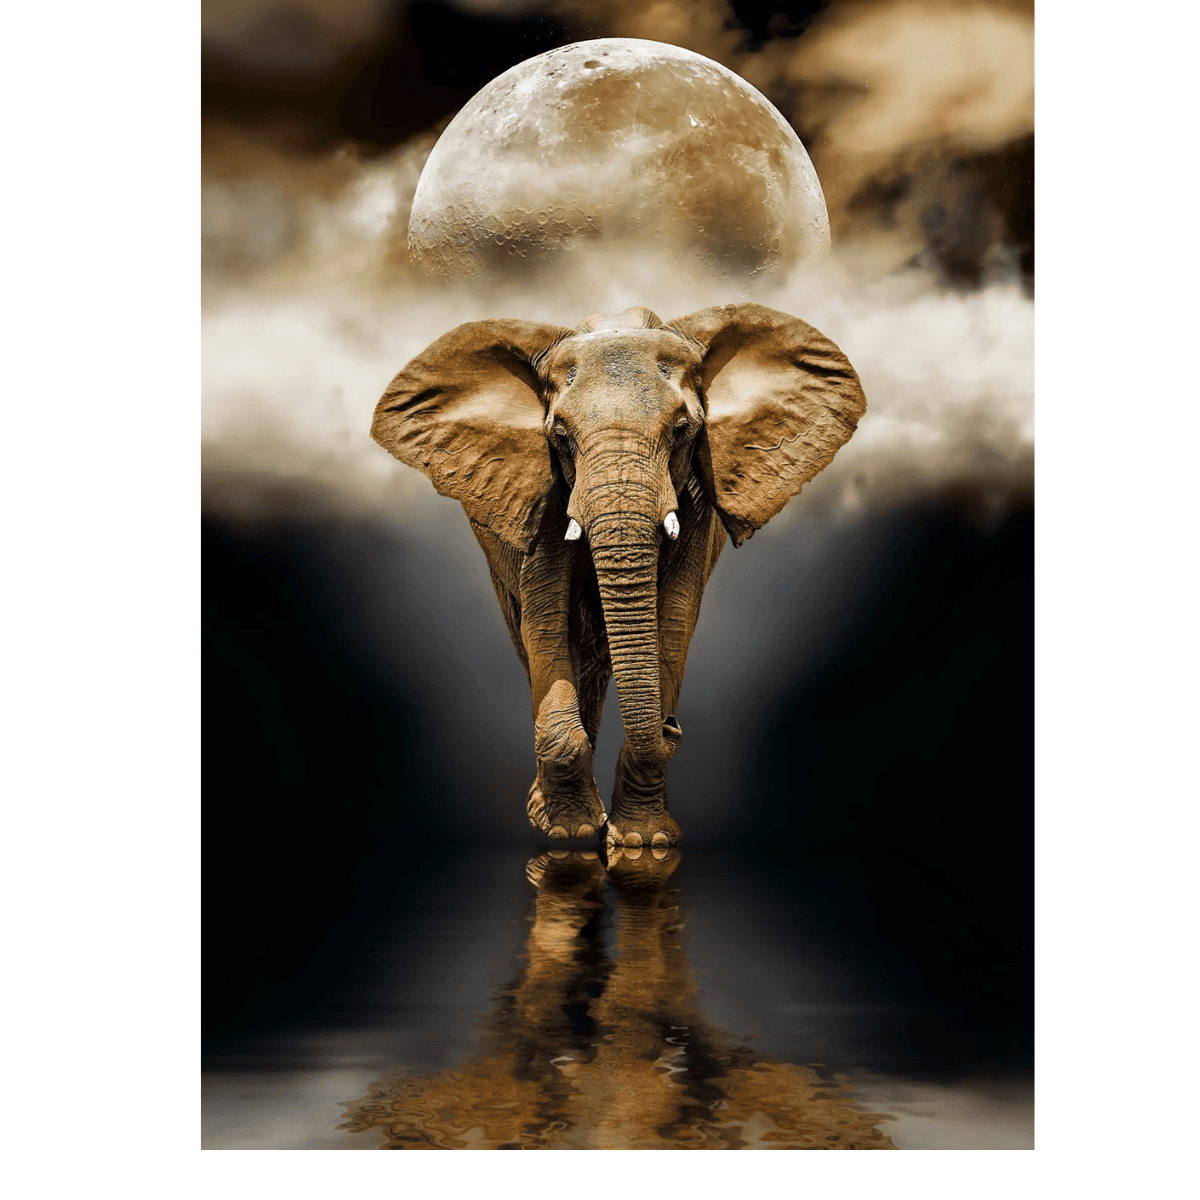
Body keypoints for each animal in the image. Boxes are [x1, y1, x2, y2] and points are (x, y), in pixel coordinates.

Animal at [371, 303, 866, 847]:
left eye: (681, 431)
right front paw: (569, 834)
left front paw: (641, 844)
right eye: (560, 436)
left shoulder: (695, 497)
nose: (672, 725)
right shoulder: (544, 490)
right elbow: (545, 619)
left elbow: (673, 619)